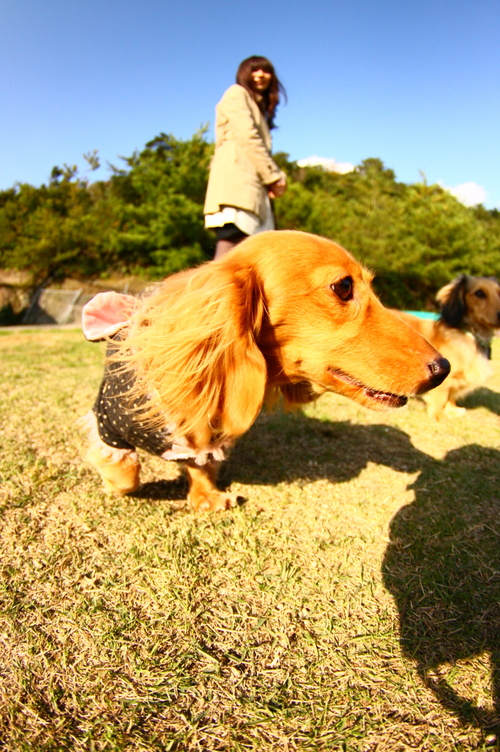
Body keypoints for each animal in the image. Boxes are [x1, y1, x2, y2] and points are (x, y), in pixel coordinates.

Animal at [82, 231, 450, 512]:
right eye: (344, 286)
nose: (443, 368)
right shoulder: (108, 422)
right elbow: (126, 477)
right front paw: (112, 479)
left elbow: (199, 459)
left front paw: (205, 494)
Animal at [394, 274, 500, 420]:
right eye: (479, 293)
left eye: (499, 292)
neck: (470, 335)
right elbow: (442, 397)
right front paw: (439, 415)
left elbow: (451, 396)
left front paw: (452, 409)